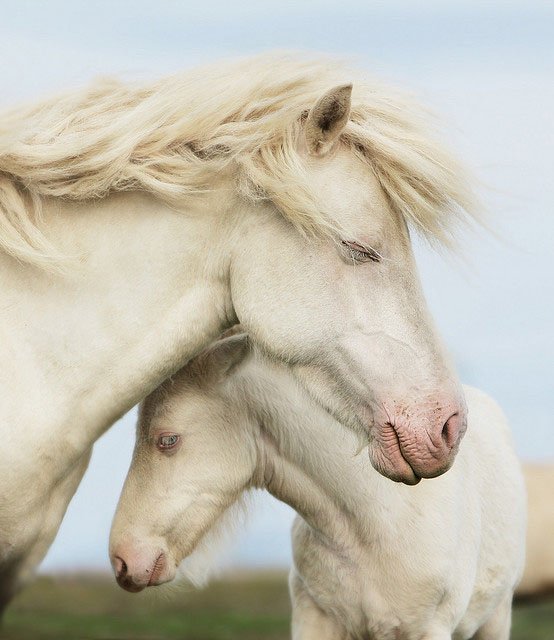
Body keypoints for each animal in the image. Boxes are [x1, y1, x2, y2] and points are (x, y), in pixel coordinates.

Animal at [110, 332, 524, 640]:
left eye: (168, 440)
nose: (123, 561)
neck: (374, 520)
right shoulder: (315, 620)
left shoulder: (428, 628)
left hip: (496, 617)